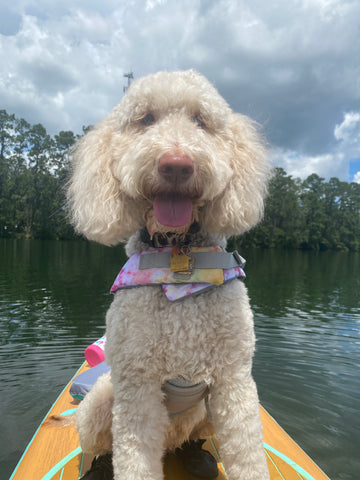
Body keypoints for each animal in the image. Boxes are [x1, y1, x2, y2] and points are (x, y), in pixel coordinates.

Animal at [68, 68, 270, 480]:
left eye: (201, 120)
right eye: (145, 119)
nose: (176, 165)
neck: (180, 258)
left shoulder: (234, 380)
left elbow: (248, 453)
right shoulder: (137, 386)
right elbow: (132, 456)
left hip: (204, 413)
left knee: (194, 436)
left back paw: (196, 456)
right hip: (100, 403)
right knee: (100, 444)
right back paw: (99, 466)